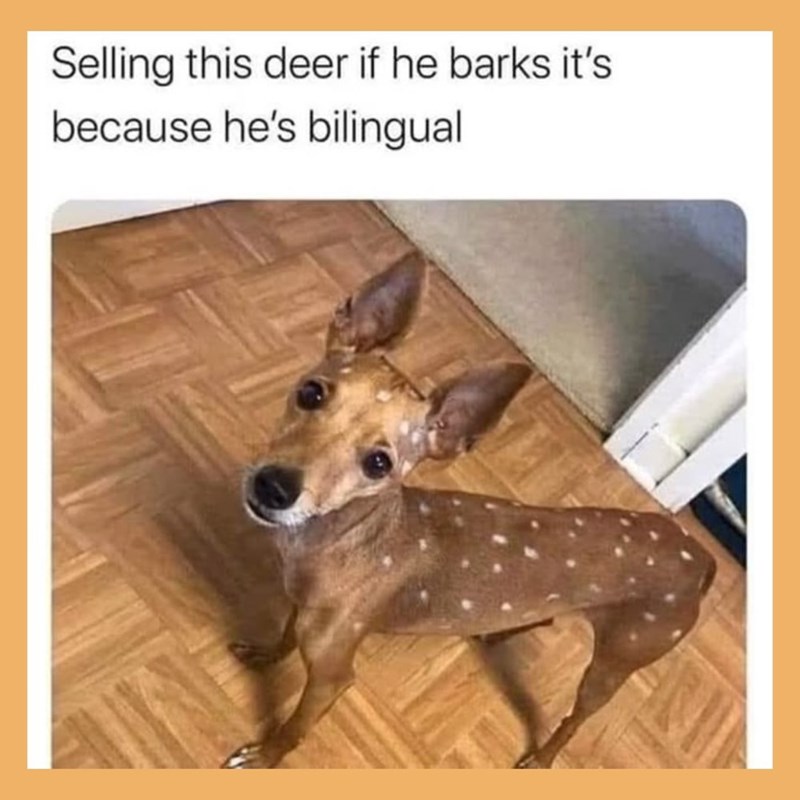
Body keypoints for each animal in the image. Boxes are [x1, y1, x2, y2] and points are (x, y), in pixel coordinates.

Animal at [222, 251, 716, 769]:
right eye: (311, 393)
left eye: (379, 463)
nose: (274, 486)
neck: (341, 541)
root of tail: (702, 558)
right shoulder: (303, 611)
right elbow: (285, 636)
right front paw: (264, 654)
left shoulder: (333, 675)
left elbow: (294, 729)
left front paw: (263, 757)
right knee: (545, 615)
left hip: (614, 664)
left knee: (574, 721)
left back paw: (541, 758)